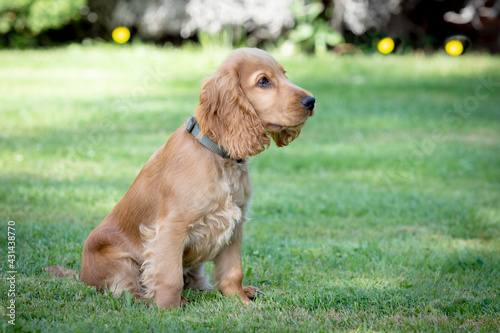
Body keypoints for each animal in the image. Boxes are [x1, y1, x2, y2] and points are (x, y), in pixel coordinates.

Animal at [79, 48, 314, 308]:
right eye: (263, 81)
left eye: (284, 74)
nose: (311, 101)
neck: (218, 156)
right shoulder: (171, 228)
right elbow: (169, 277)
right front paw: (167, 308)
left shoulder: (235, 224)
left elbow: (233, 271)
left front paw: (240, 300)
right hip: (119, 260)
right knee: (127, 291)